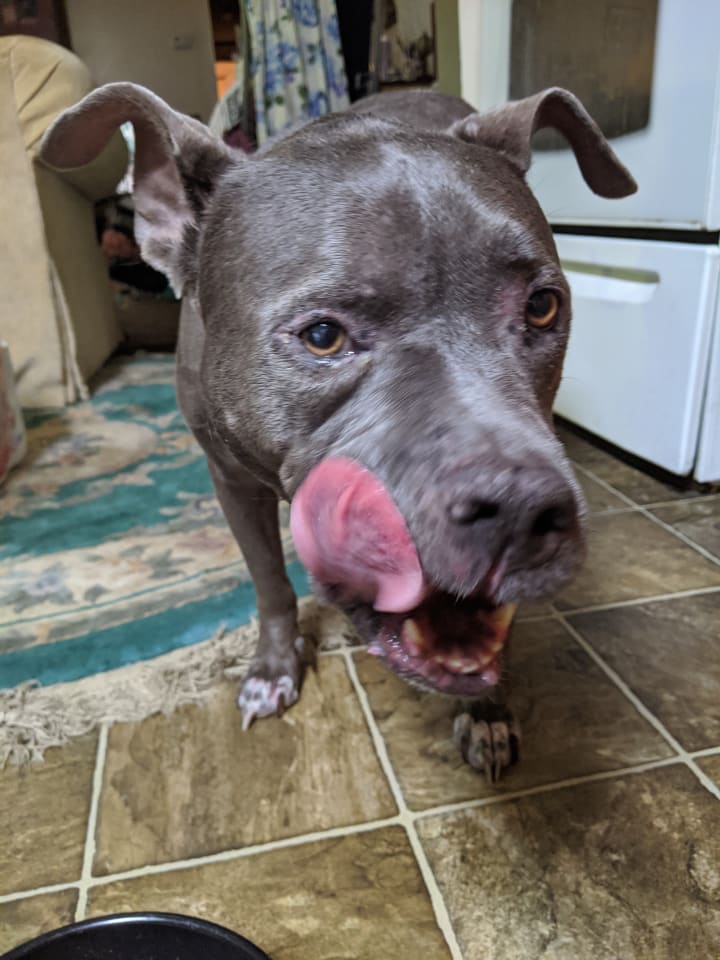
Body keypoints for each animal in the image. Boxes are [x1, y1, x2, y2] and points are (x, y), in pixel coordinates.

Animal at [40, 83, 636, 780]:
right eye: (322, 336)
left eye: (542, 306)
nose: (517, 510)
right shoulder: (230, 479)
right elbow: (270, 582)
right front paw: (274, 668)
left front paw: (489, 708)